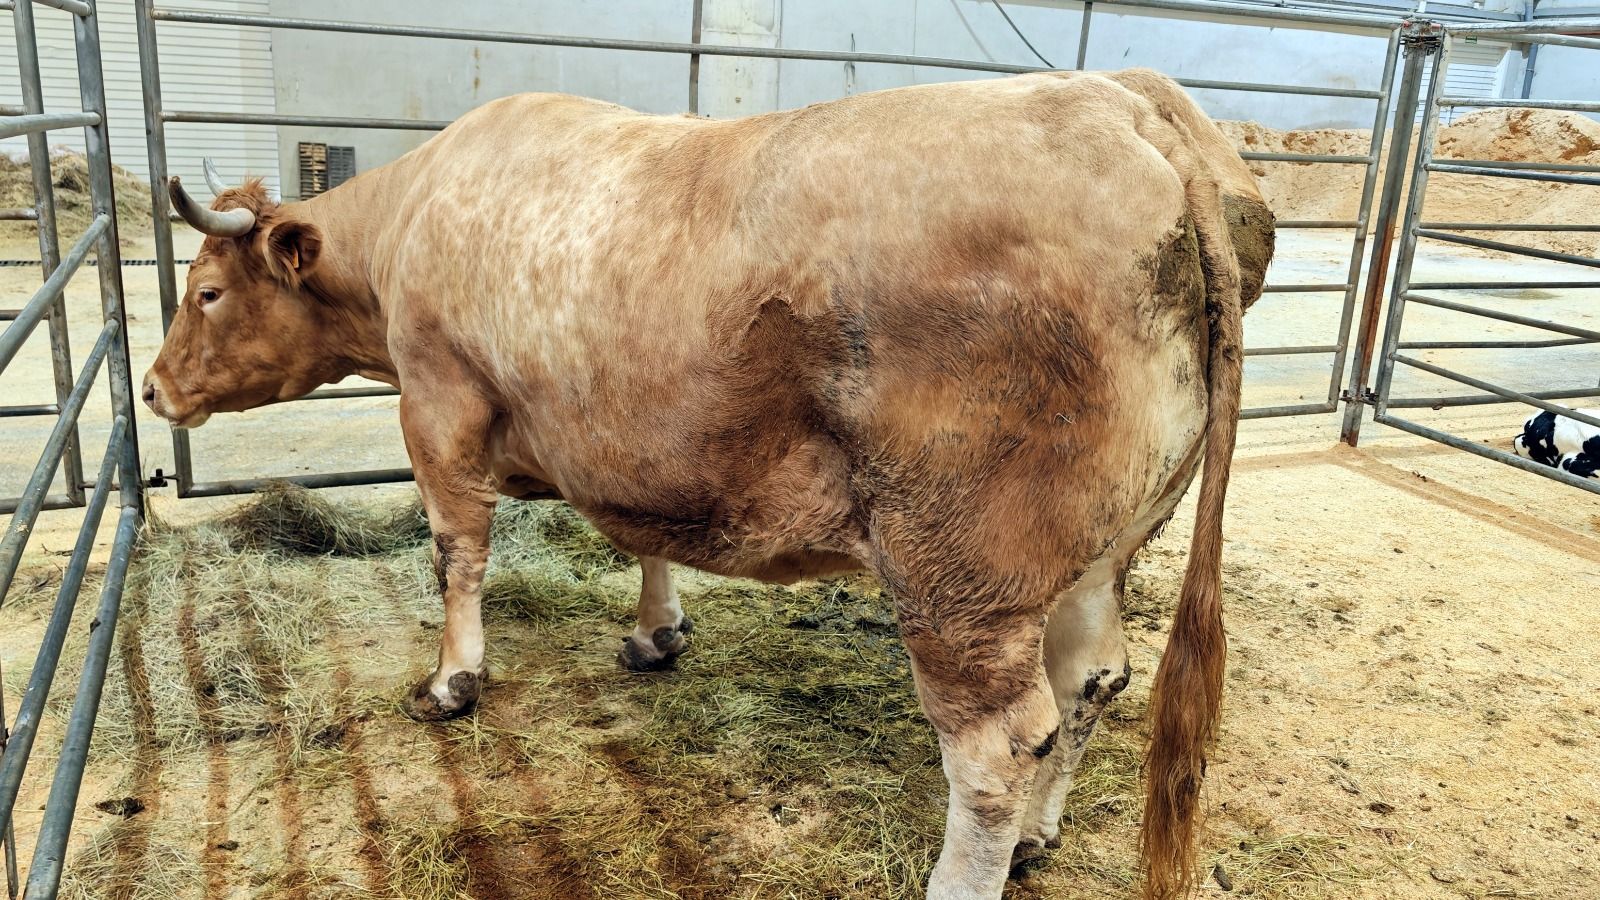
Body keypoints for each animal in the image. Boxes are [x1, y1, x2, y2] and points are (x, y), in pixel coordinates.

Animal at [142, 69, 1273, 899]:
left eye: (207, 290)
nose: (152, 388)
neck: (416, 217)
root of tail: (1132, 109)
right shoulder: (628, 436)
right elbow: (645, 534)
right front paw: (658, 631)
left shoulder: (438, 406)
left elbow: (455, 553)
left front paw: (452, 680)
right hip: (1101, 544)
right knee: (1091, 682)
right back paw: (1040, 837)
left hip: (959, 568)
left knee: (997, 747)